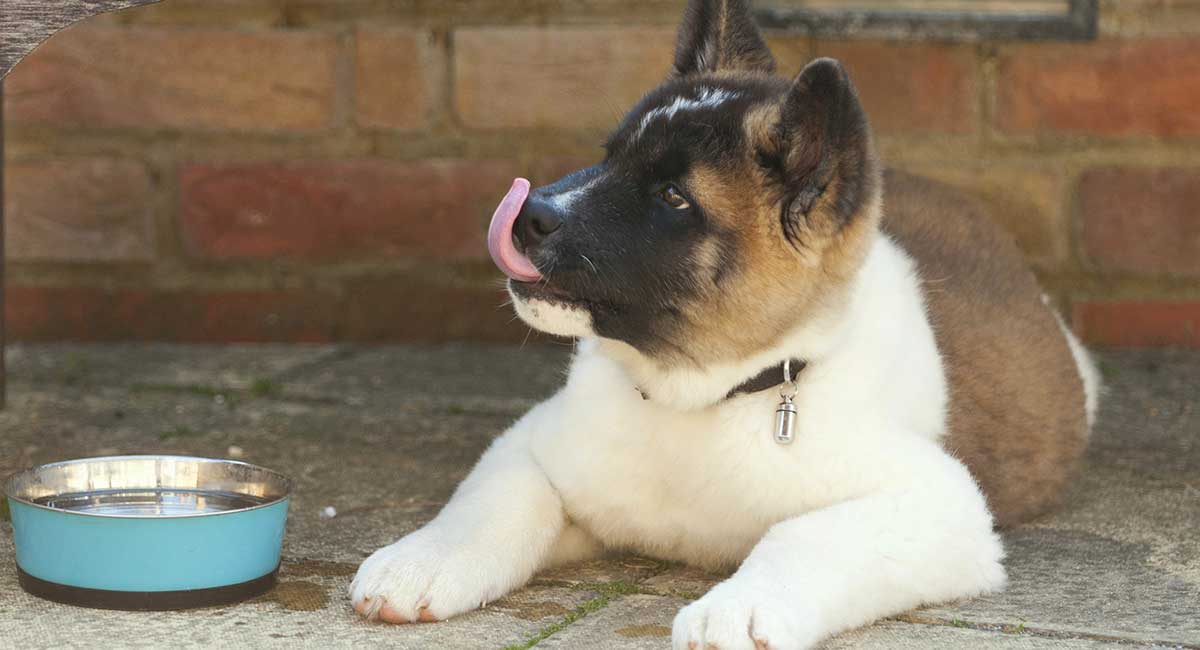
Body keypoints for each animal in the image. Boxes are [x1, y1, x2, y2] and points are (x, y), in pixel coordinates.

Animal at [348, 2, 1099, 647]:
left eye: (673, 197)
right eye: (611, 156)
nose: (528, 212)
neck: (699, 397)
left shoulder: (942, 507)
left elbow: (802, 537)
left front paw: (740, 610)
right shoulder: (530, 445)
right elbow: (493, 503)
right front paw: (421, 563)